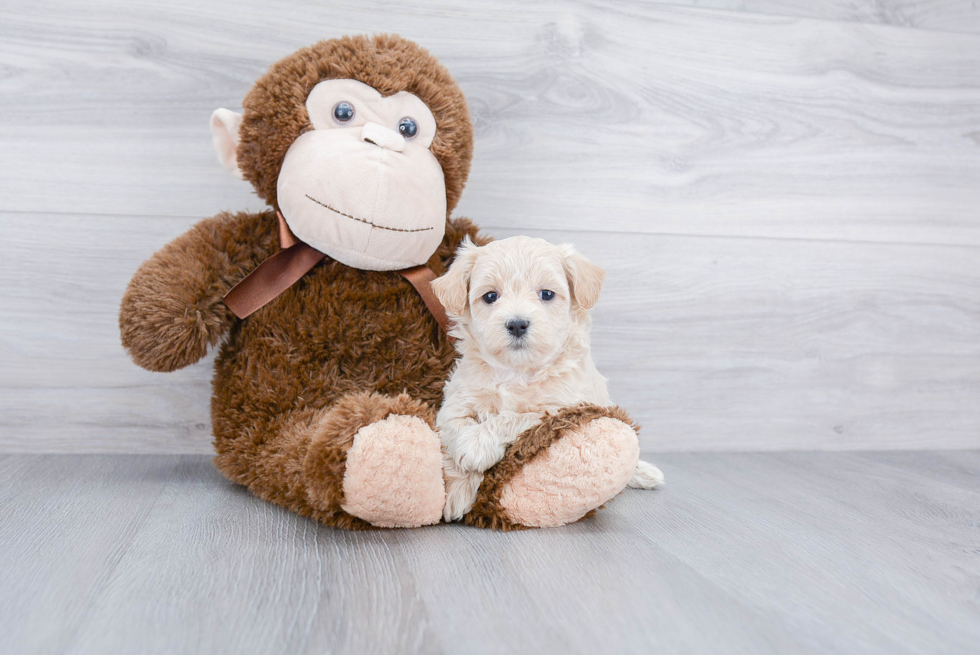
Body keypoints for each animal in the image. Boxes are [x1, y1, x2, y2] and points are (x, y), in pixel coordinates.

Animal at [432, 236, 664, 524]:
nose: (517, 324)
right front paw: (458, 487)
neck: (517, 370)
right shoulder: (456, 402)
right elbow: (455, 430)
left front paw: (478, 443)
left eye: (546, 294)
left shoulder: (561, 409)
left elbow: (513, 417)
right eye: (490, 296)